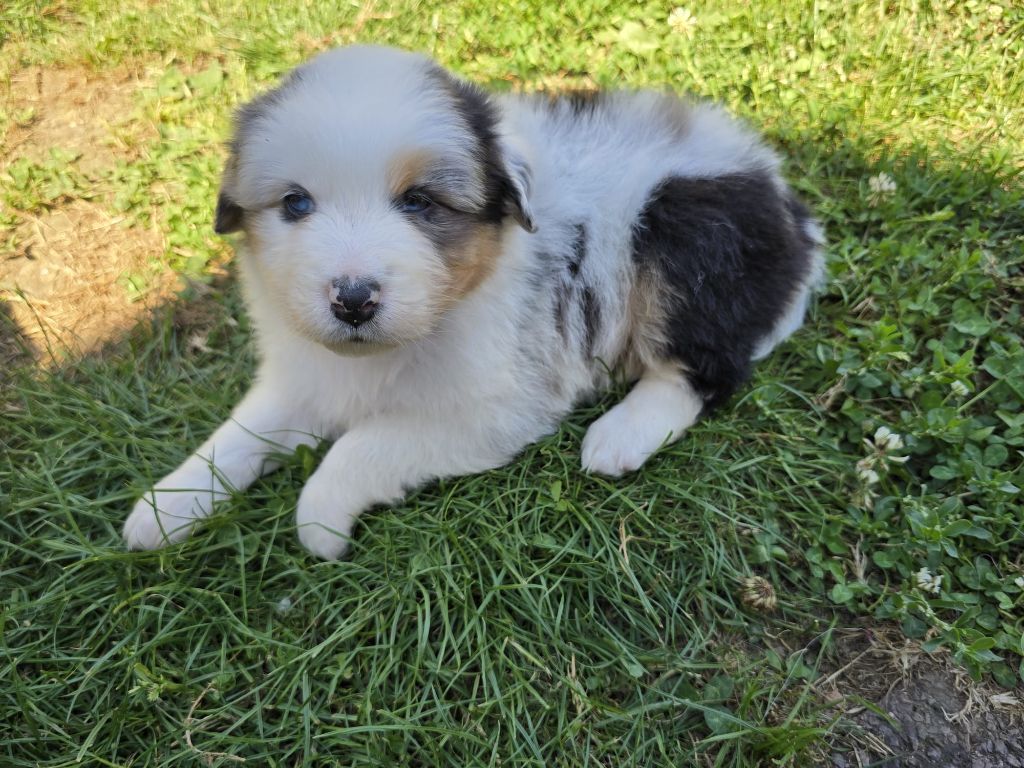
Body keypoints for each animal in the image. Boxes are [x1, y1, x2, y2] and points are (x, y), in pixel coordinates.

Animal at [123, 45, 824, 560]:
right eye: (295, 203)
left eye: (419, 202)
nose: (353, 300)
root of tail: (790, 214)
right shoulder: (305, 374)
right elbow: (241, 433)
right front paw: (165, 504)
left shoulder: (494, 409)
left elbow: (363, 445)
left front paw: (320, 522)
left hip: (685, 233)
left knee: (703, 371)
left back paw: (620, 434)